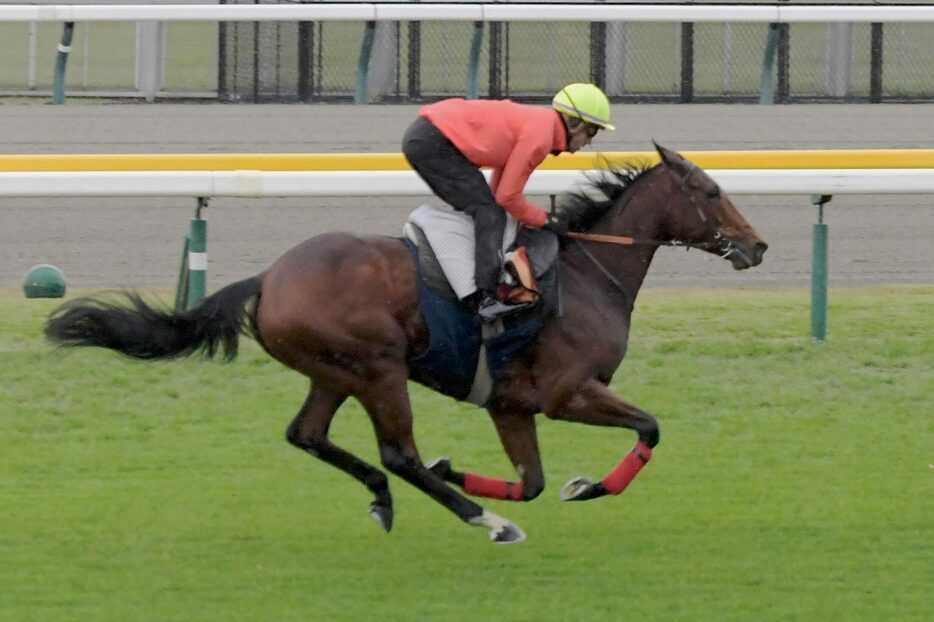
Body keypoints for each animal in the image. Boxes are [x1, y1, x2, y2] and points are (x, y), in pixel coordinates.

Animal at [44, 144, 768, 544]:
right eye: (710, 191)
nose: (758, 245)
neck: (589, 272)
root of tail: (268, 278)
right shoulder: (565, 393)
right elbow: (648, 428)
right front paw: (585, 488)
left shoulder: (511, 404)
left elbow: (532, 480)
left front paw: (481, 474)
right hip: (379, 368)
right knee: (398, 453)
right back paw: (486, 521)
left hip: (333, 370)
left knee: (309, 435)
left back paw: (387, 498)